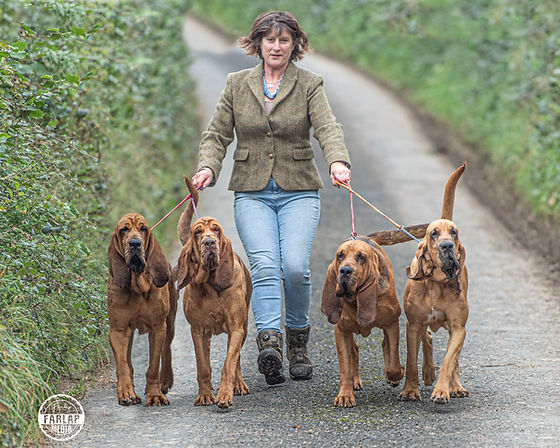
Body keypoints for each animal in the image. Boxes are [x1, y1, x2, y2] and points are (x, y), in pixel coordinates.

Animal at [108, 214, 178, 406]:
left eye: (143, 229)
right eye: (124, 229)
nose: (134, 243)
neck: (137, 285)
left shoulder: (157, 328)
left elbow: (153, 367)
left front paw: (154, 395)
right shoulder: (118, 330)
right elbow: (123, 365)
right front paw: (126, 392)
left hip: (170, 323)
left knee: (166, 349)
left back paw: (165, 380)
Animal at [177, 177, 252, 408]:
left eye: (216, 230)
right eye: (198, 232)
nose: (209, 242)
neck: (210, 285)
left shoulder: (236, 328)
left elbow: (229, 363)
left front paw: (225, 395)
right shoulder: (197, 331)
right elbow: (203, 367)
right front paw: (205, 395)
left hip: (244, 329)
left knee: (236, 360)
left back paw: (239, 385)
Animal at [322, 236, 404, 408]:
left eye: (361, 257)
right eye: (340, 255)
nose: (345, 270)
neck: (355, 299)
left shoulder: (392, 324)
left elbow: (393, 364)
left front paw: (396, 374)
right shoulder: (341, 331)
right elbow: (345, 366)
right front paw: (345, 395)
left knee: (385, 346)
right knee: (354, 350)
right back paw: (355, 382)